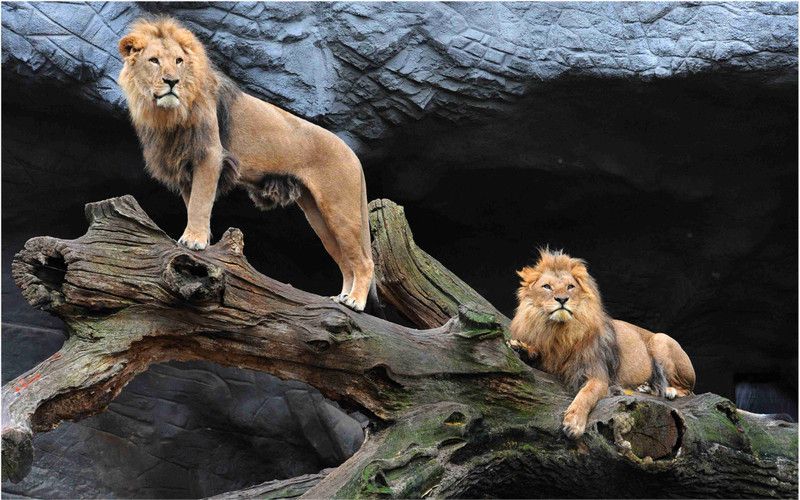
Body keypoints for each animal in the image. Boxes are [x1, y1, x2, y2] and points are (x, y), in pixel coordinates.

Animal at [117, 17, 376, 311]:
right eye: (154, 60)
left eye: (179, 61)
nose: (172, 81)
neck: (168, 114)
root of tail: (353, 154)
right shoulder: (185, 166)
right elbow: (192, 202)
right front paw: (199, 238)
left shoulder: (210, 155)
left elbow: (200, 202)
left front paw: (193, 241)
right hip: (319, 216)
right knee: (345, 260)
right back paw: (341, 297)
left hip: (340, 209)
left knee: (364, 261)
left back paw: (354, 301)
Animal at [509, 249, 695, 438]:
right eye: (547, 286)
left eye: (570, 287)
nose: (562, 299)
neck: (560, 332)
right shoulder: (549, 362)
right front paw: (521, 347)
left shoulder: (597, 375)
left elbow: (586, 394)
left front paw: (574, 423)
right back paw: (646, 387)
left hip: (660, 339)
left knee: (687, 389)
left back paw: (669, 390)